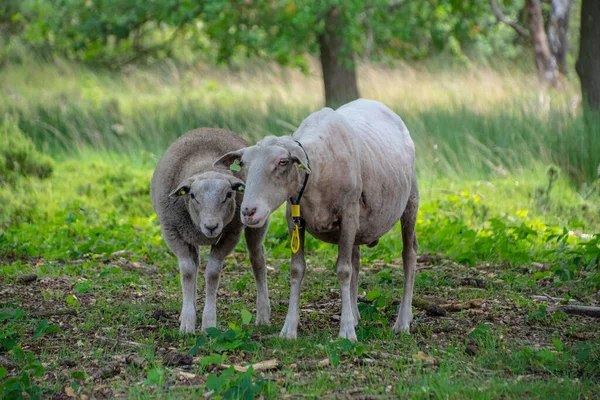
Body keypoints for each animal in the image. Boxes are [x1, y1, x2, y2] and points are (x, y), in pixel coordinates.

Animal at [151, 129, 270, 334]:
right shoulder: (172, 232)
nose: (211, 226)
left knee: (258, 261)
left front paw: (208, 323)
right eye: (192, 195)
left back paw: (263, 315)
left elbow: (213, 273)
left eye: (229, 194)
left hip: (256, 222)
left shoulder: (231, 234)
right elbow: (188, 272)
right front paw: (187, 322)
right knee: (195, 264)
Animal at [214, 98, 418, 340]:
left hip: (410, 201)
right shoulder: (294, 218)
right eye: (243, 164)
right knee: (356, 259)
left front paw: (346, 332)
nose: (248, 211)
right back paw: (355, 315)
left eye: (282, 161)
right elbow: (297, 269)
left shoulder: (348, 214)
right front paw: (289, 328)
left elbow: (343, 270)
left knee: (408, 255)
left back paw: (402, 322)